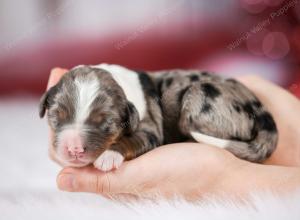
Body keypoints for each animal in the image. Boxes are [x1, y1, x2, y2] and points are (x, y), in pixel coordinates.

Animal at [38, 63, 278, 172]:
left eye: (105, 123)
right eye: (57, 116)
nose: (74, 149)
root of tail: (262, 112)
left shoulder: (150, 128)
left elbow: (133, 139)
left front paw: (109, 156)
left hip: (198, 96)